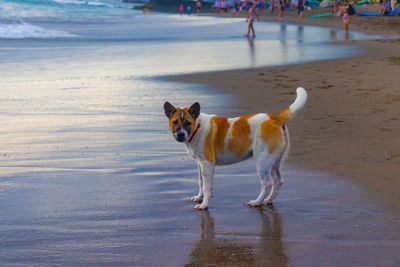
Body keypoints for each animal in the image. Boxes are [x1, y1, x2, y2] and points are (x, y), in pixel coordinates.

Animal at [164, 87, 308, 209]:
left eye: (188, 123)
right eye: (175, 122)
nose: (180, 135)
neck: (197, 127)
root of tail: (276, 119)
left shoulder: (207, 164)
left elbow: (206, 186)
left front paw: (204, 204)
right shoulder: (200, 165)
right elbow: (201, 182)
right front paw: (199, 197)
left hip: (263, 162)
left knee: (267, 183)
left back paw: (257, 201)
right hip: (274, 162)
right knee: (278, 181)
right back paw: (268, 200)